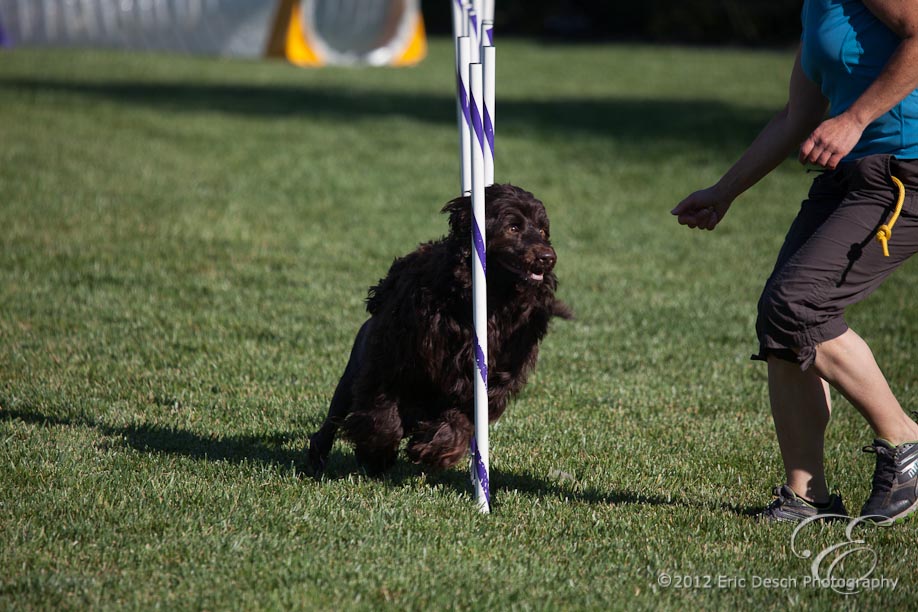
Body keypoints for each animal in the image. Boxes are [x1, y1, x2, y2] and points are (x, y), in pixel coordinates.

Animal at [310, 184, 568, 476]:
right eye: (513, 227)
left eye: (543, 230)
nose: (548, 257)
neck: (493, 298)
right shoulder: (393, 357)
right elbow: (382, 406)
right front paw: (377, 451)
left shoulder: (496, 371)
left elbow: (465, 413)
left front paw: (436, 447)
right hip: (355, 367)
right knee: (335, 416)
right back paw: (318, 457)